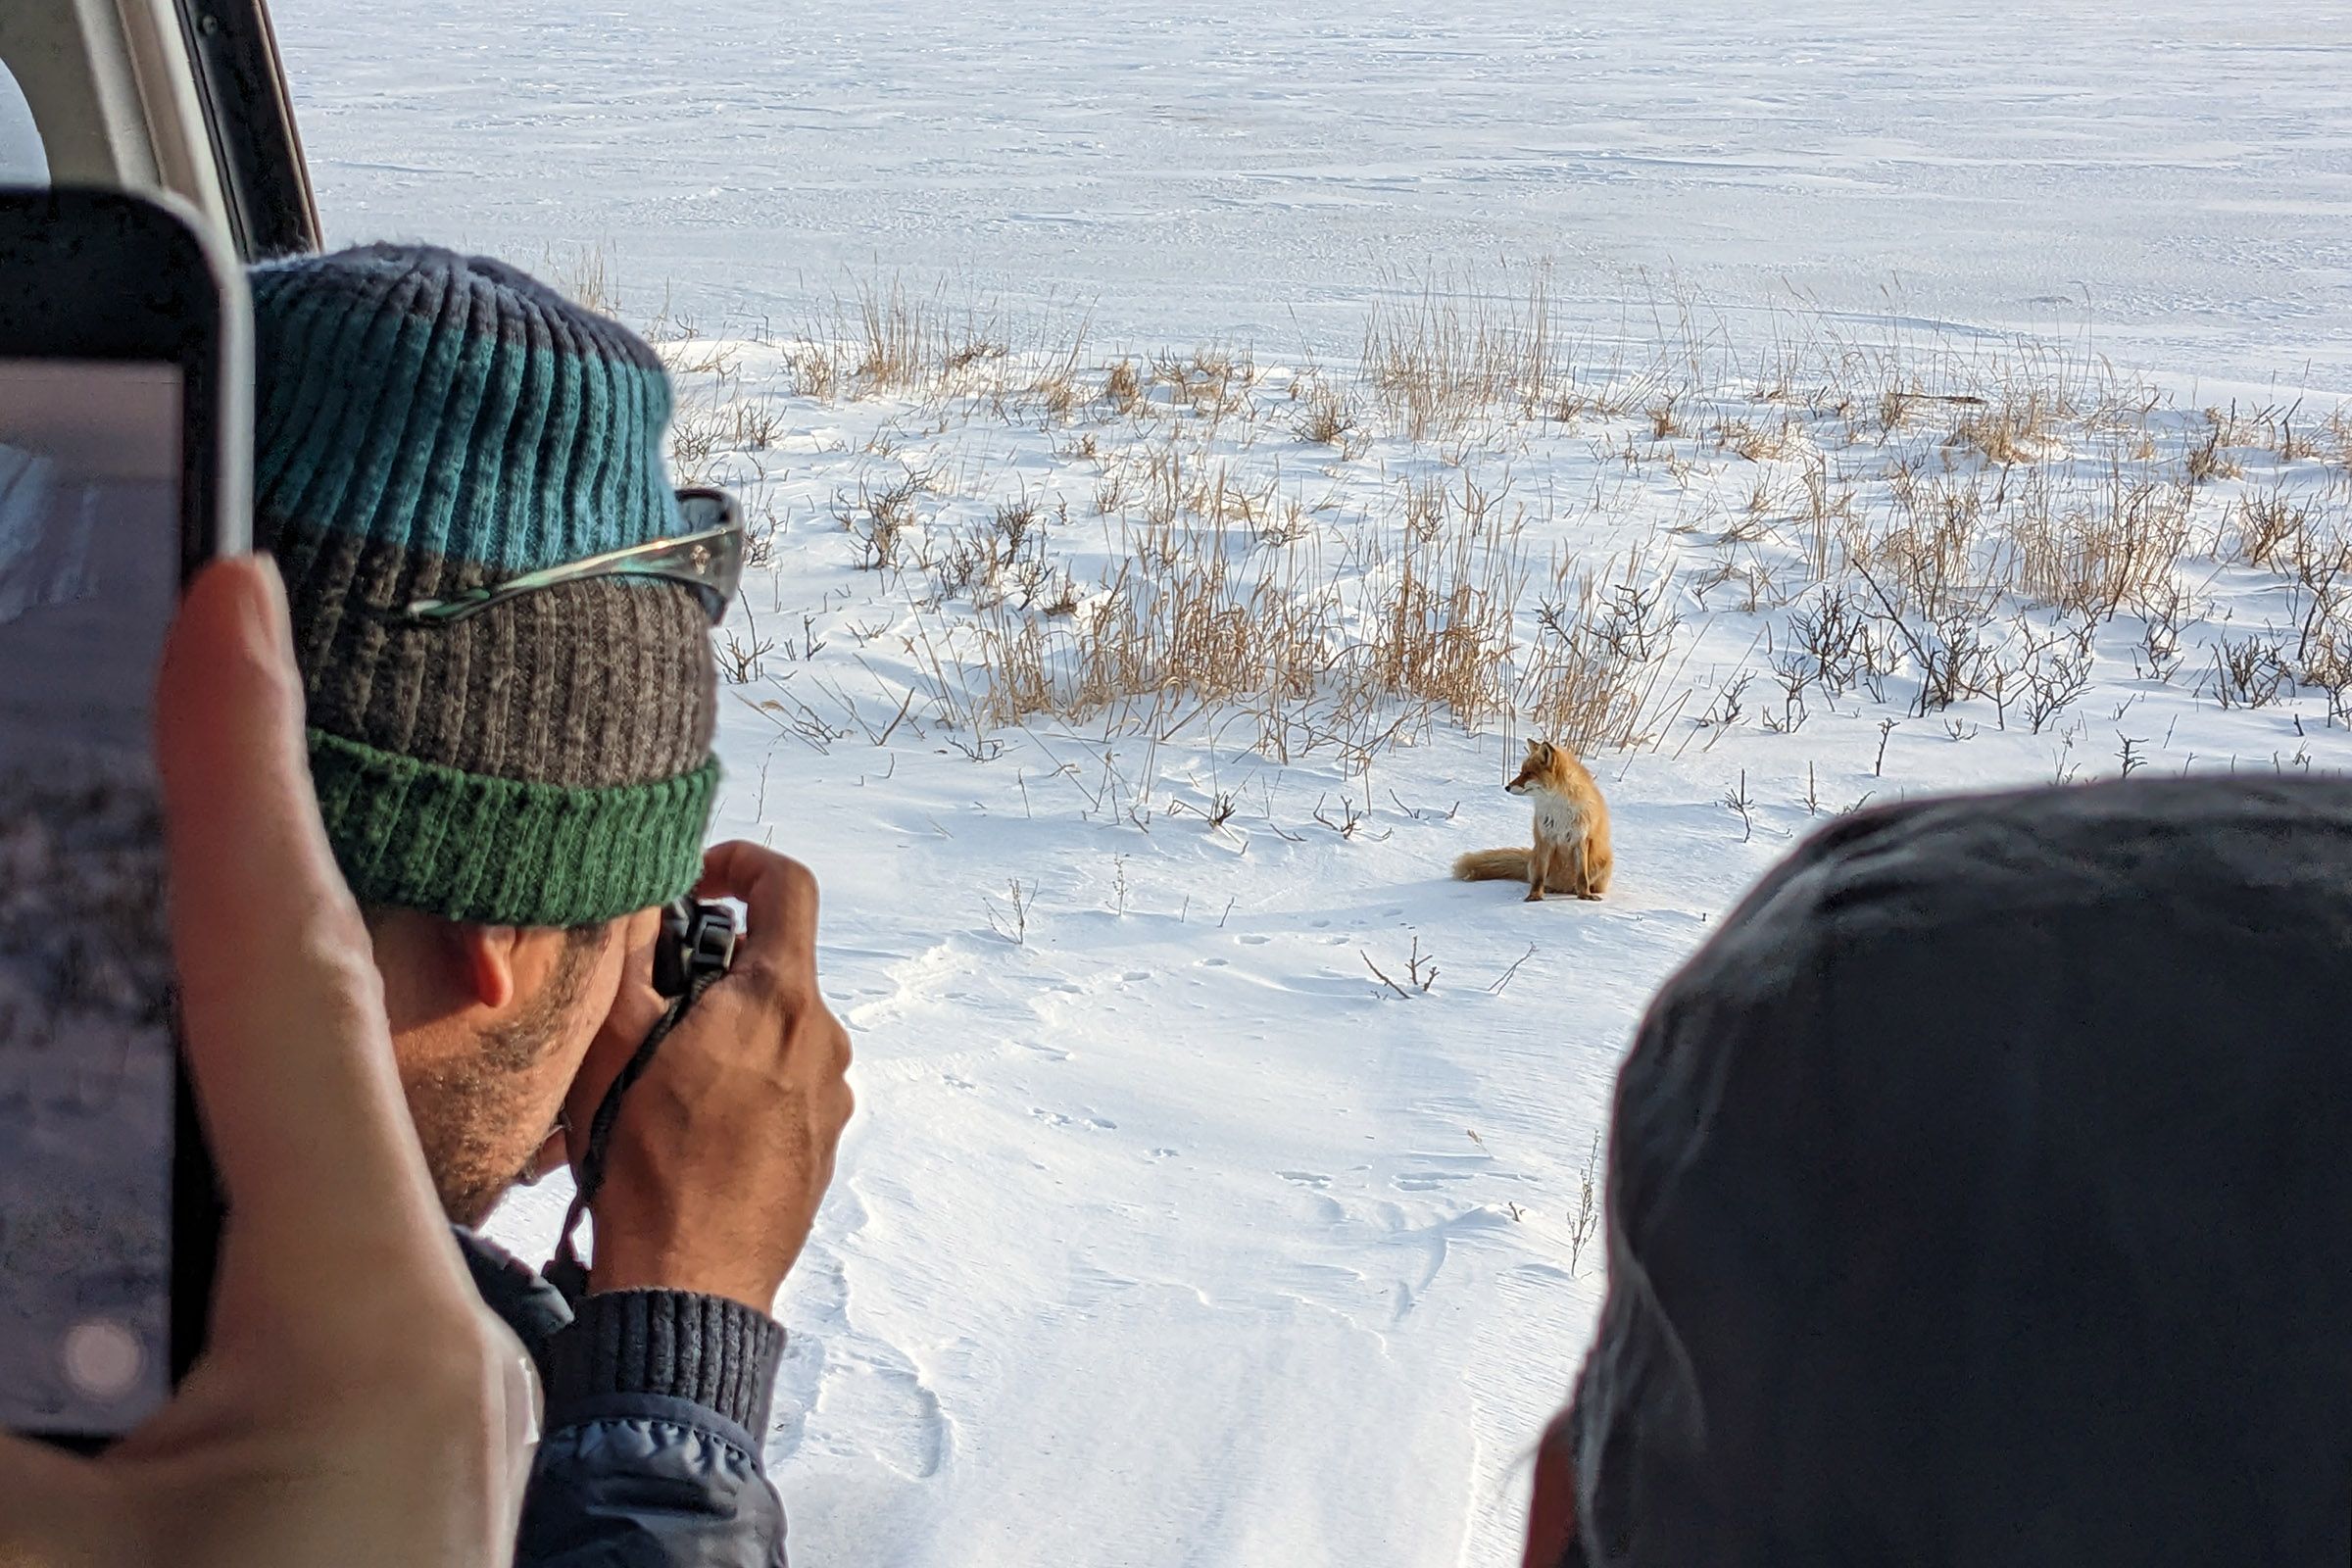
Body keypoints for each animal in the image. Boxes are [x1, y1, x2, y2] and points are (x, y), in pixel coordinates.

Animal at [1453, 739, 1613, 902]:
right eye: (1521, 772)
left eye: (1529, 773)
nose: (1507, 787)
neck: (1558, 809)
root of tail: (1563, 887)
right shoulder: (1545, 839)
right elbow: (1539, 877)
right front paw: (1535, 896)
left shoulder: (1581, 839)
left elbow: (1582, 877)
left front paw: (1585, 895)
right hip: (1537, 858)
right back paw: (1549, 889)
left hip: (1603, 862)